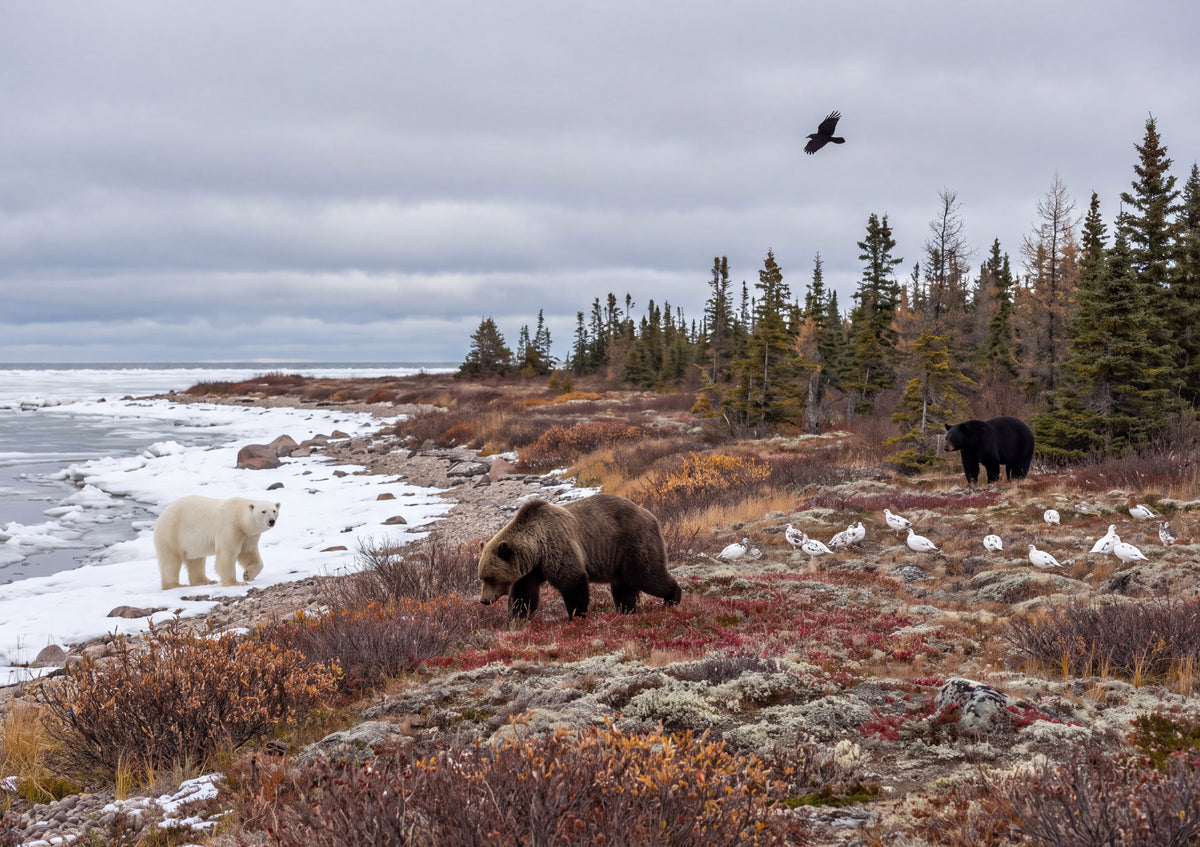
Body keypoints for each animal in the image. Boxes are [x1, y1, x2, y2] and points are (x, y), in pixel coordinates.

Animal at [477, 493, 682, 621]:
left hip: (634, 541)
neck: (536, 549)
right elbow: (524, 595)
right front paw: (516, 618)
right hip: (620, 559)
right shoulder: (531, 570)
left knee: (647, 575)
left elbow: (573, 583)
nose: (484, 600)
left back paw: (672, 598)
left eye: (489, 578)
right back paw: (626, 611)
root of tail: (650, 515)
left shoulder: (557, 547)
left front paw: (577, 616)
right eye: (482, 577)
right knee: (623, 587)